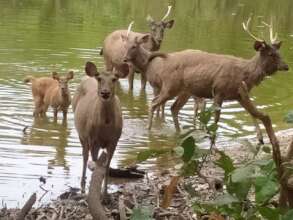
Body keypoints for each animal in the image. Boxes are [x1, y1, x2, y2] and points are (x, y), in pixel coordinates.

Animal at [72, 60, 126, 196]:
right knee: (85, 156)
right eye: (99, 78)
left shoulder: (114, 140)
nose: (105, 92)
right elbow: (96, 164)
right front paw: (94, 191)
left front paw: (105, 192)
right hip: (82, 134)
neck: (105, 126)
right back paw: (83, 183)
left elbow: (106, 166)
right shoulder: (93, 140)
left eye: (114, 79)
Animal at [122, 18, 288, 144]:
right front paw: (213, 141)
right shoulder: (219, 91)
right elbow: (216, 119)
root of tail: (165, 58)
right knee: (154, 103)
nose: (286, 66)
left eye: (278, 52)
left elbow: (255, 114)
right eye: (271, 54)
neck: (245, 74)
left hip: (184, 91)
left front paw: (261, 139)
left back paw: (179, 132)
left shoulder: (240, 94)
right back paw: (149, 131)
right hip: (170, 86)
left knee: (173, 108)